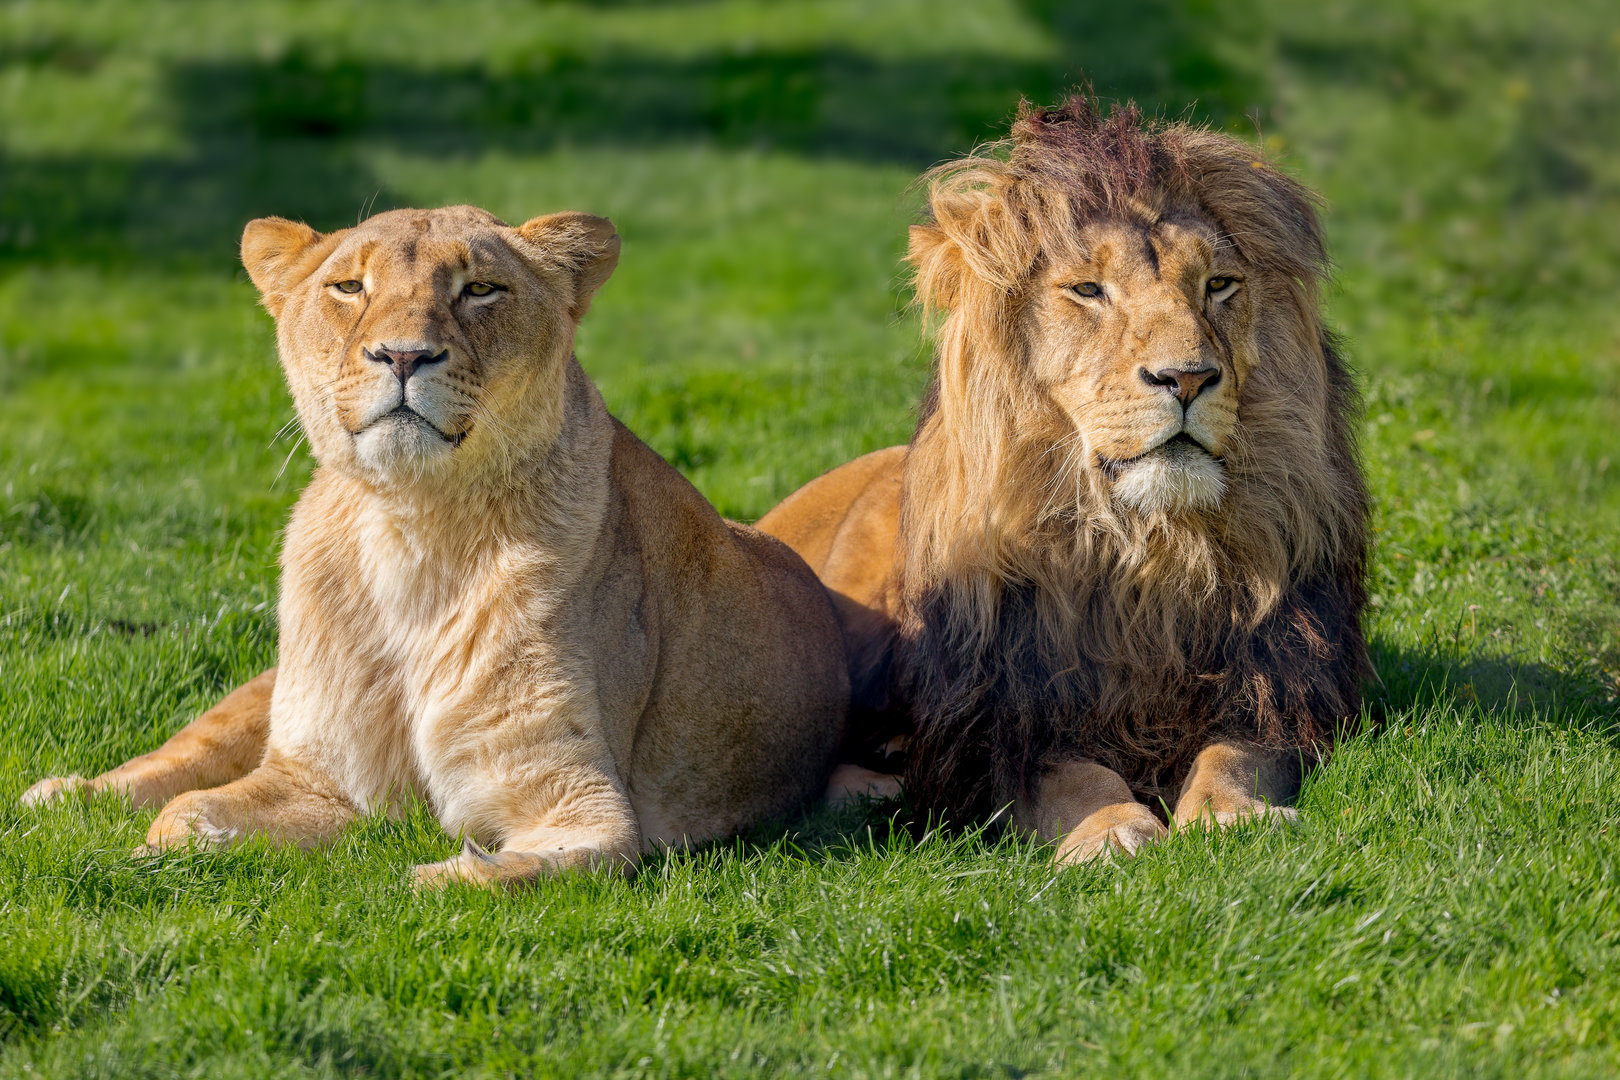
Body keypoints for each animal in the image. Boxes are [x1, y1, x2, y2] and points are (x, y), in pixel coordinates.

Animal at [23, 204, 849, 886]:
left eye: (479, 289)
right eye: (349, 287)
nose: (402, 356)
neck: (414, 526)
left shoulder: (583, 806)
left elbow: (497, 869)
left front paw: (427, 874)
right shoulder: (317, 776)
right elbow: (187, 812)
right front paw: (139, 853)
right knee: (175, 760)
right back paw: (65, 796)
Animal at [762, 96, 1372, 861]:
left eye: (1218, 285)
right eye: (1088, 290)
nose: (1188, 378)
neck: (1147, 550)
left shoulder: (1277, 678)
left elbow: (1238, 752)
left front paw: (1236, 817)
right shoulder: (1000, 717)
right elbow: (1069, 774)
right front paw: (1111, 829)